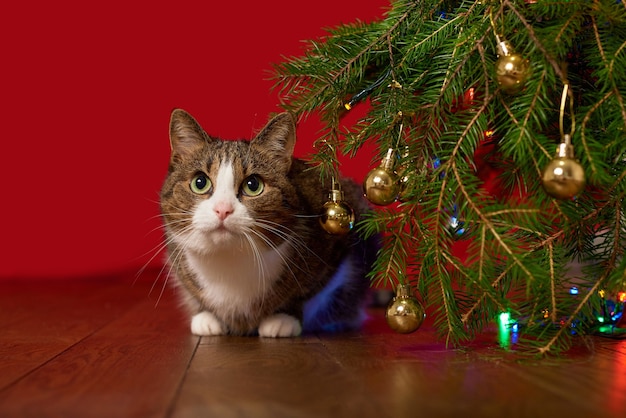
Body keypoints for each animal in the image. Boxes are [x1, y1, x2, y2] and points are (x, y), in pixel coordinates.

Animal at [158, 109, 378, 338]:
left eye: (253, 185)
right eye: (199, 183)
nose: (222, 209)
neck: (230, 259)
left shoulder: (338, 242)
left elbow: (307, 292)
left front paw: (283, 318)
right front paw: (206, 315)